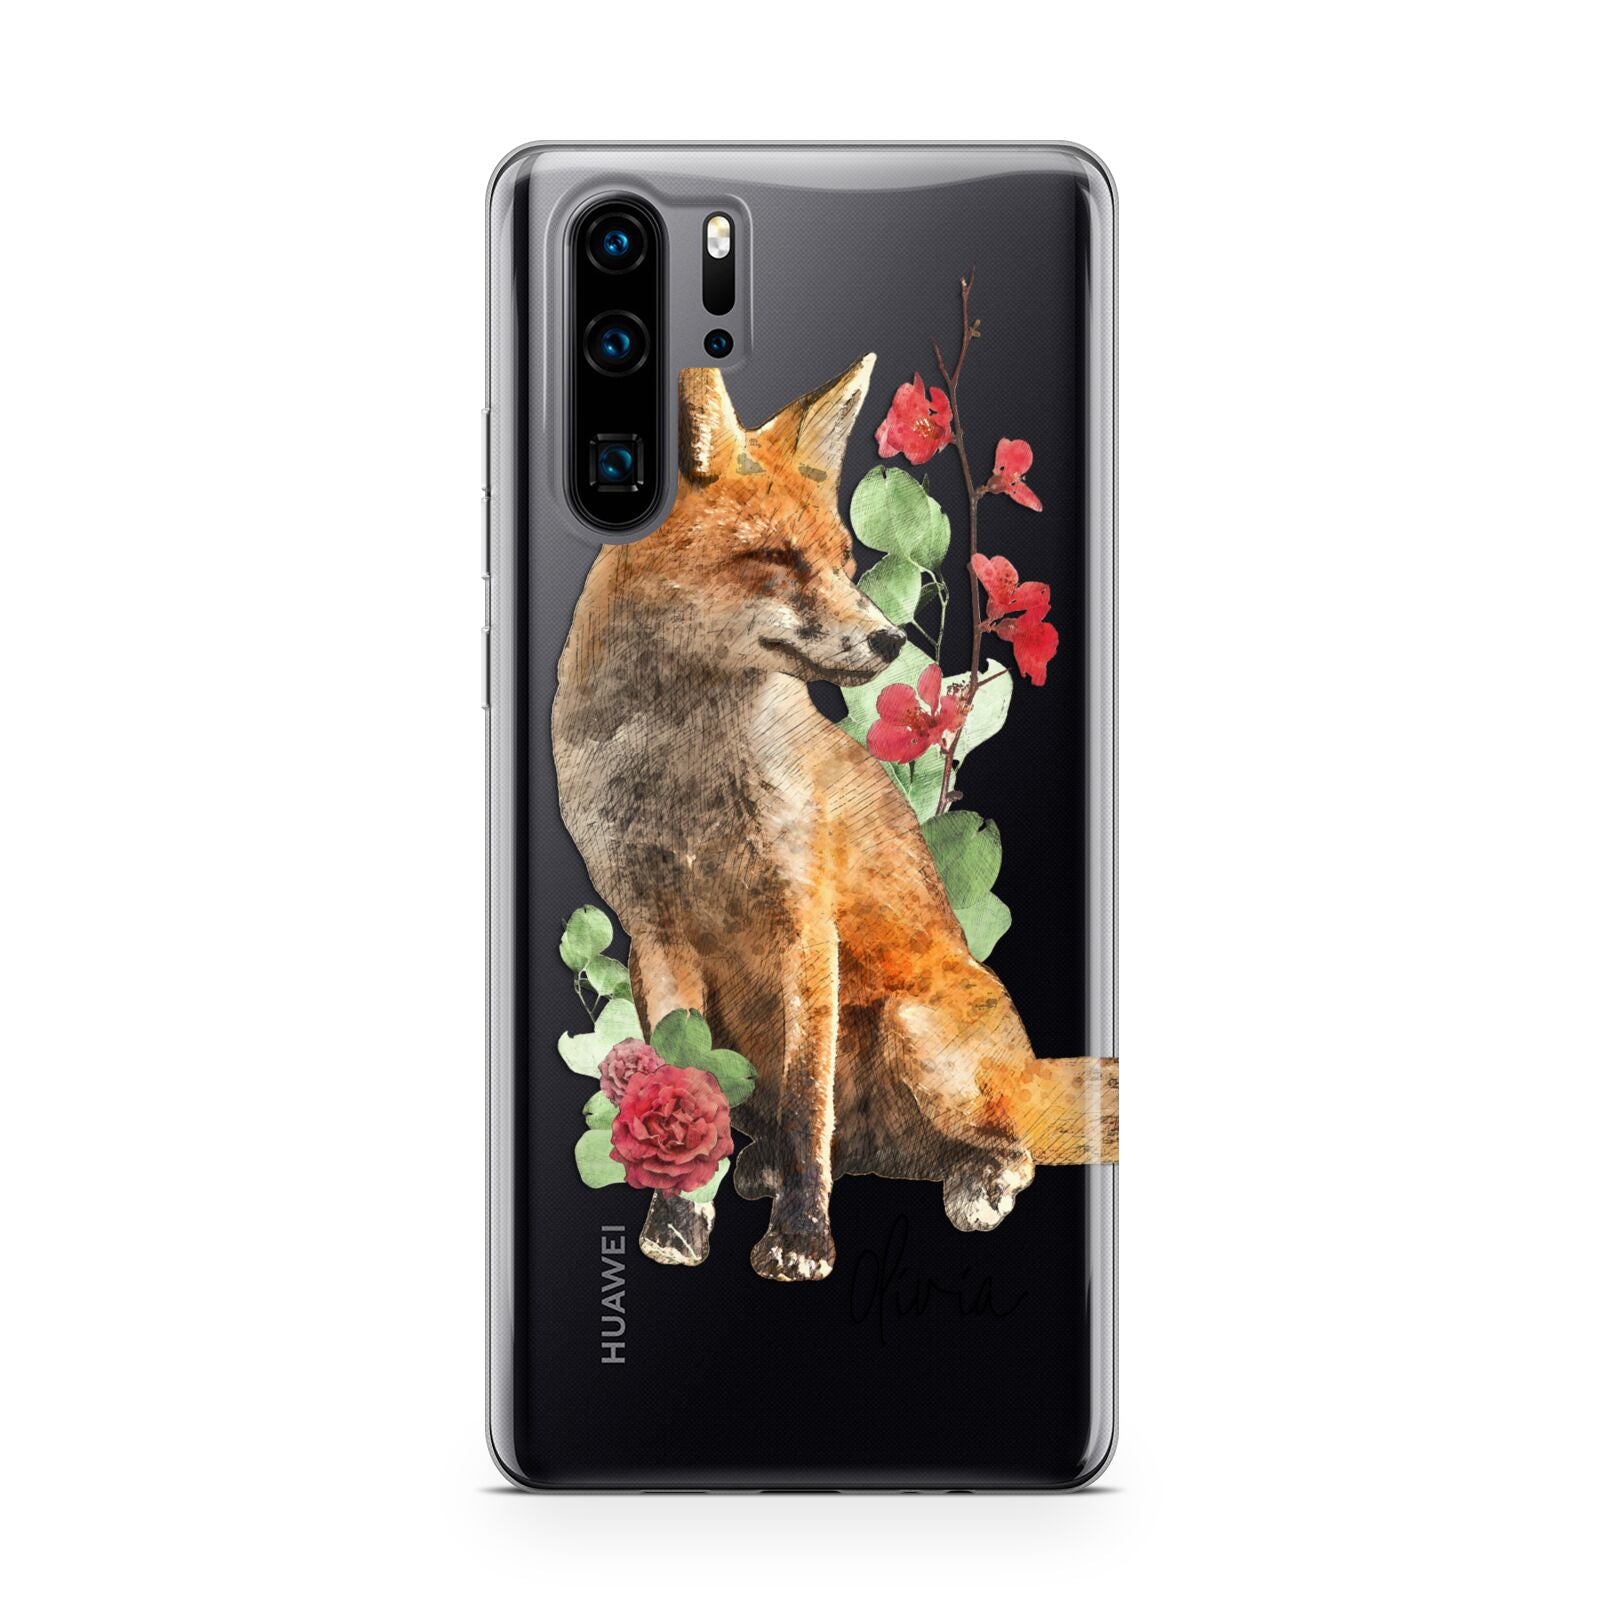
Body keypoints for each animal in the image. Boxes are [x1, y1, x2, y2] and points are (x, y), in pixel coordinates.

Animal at [552, 356, 1117, 1283]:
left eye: (846, 559)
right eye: (776, 557)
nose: (889, 643)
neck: (682, 778)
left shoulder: (806, 927)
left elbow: (806, 1103)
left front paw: (801, 1238)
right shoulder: (654, 936)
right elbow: (682, 1085)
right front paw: (679, 1220)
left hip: (912, 1028)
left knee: (1006, 1145)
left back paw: (976, 1184)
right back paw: (759, 1167)